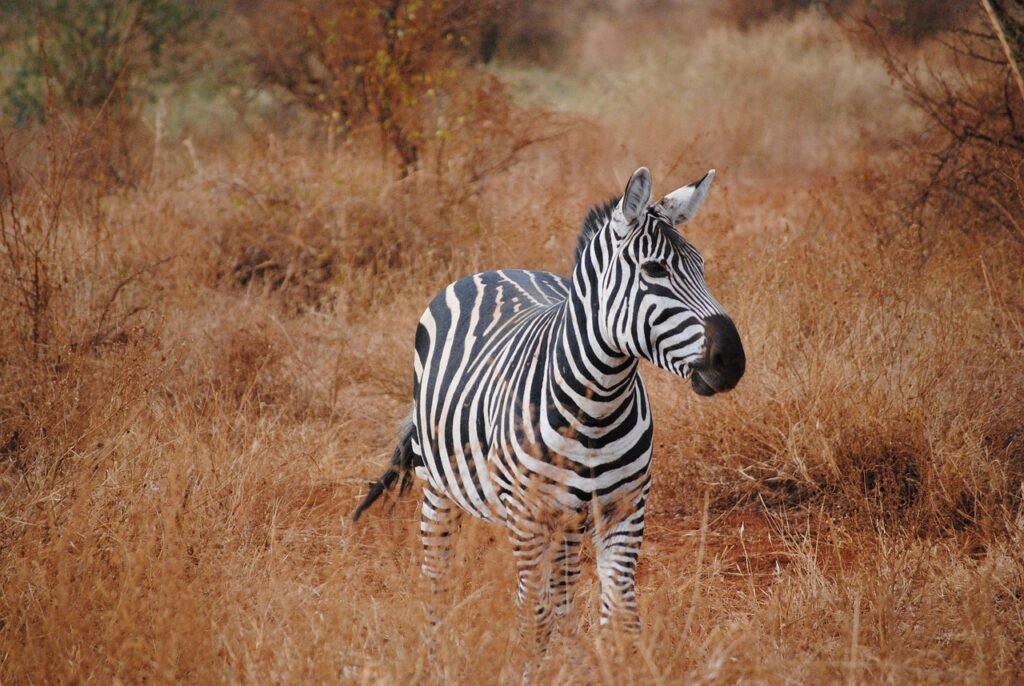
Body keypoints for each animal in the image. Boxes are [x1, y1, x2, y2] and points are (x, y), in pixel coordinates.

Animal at [353, 166, 745, 653]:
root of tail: (497, 270)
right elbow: (533, 615)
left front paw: (611, 662)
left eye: (701, 267)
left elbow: (620, 615)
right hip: (440, 487)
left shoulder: (625, 510)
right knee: (438, 573)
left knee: (564, 591)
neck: (597, 408)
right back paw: (435, 648)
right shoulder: (528, 517)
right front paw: (530, 664)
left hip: (569, 520)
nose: (733, 359)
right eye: (655, 269)